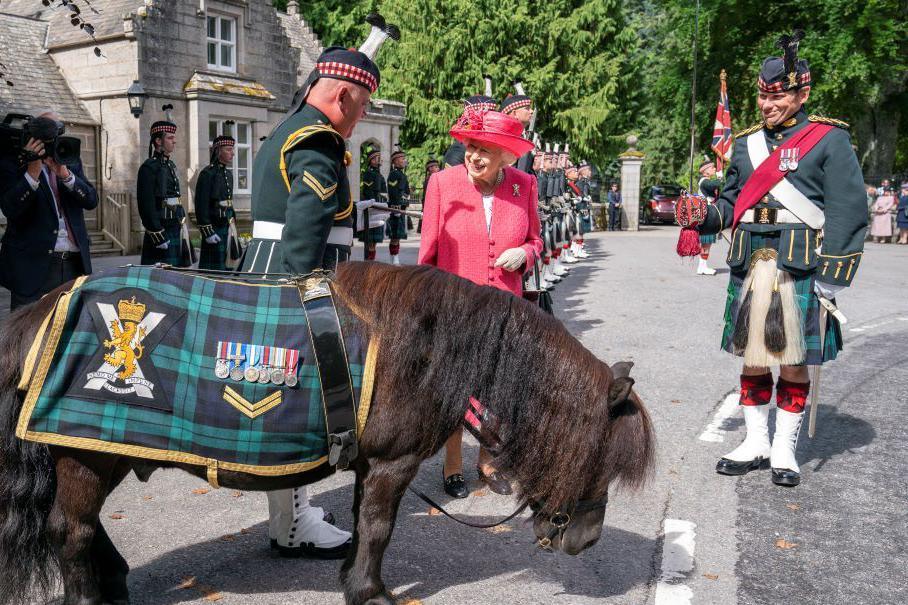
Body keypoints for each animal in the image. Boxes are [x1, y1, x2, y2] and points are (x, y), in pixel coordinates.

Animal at [0, 262, 652, 604]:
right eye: (601, 458)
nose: (586, 540)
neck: (426, 346)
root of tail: (48, 305)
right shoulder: (392, 463)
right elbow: (380, 528)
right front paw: (372, 592)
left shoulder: (372, 464)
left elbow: (366, 521)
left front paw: (353, 581)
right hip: (86, 454)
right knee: (71, 531)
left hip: (97, 453)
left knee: (83, 529)